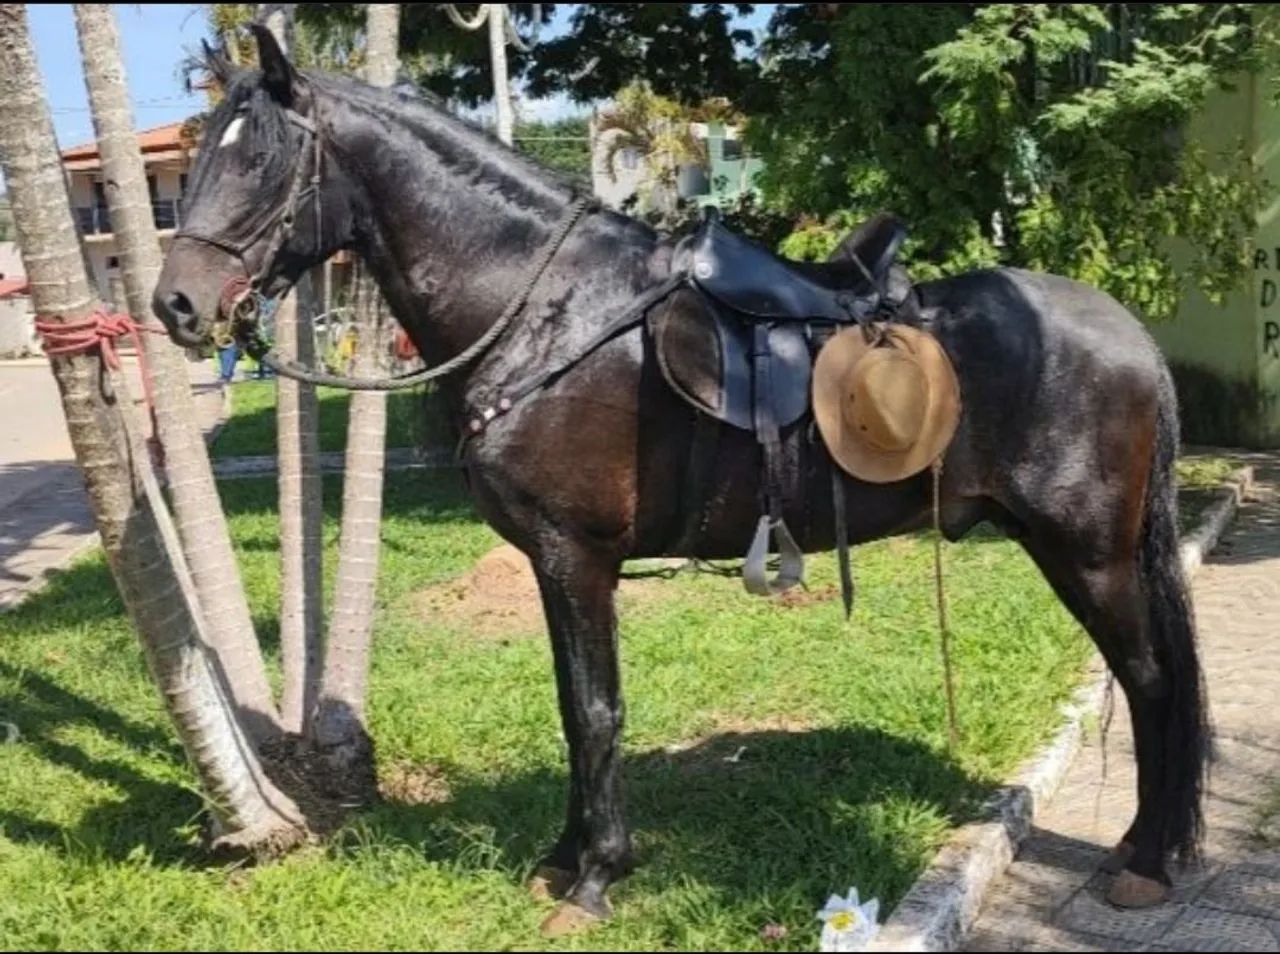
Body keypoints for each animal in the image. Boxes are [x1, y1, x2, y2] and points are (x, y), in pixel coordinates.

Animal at [152, 26, 1209, 931]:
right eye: (197, 164)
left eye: (259, 161)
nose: (176, 306)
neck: (548, 310)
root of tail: (1125, 331)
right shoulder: (551, 565)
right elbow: (573, 708)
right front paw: (564, 855)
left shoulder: (576, 556)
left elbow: (595, 710)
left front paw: (596, 877)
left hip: (1086, 553)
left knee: (1152, 682)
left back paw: (1146, 863)